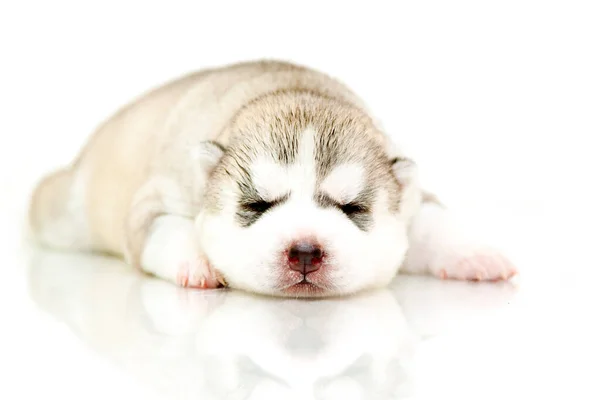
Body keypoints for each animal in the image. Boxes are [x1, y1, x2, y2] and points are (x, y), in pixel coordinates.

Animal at [27, 60, 516, 296]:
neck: (293, 91)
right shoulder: (156, 197)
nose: (305, 252)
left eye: (352, 207)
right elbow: (163, 228)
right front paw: (199, 262)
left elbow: (433, 221)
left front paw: (474, 254)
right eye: (256, 205)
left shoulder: (412, 197)